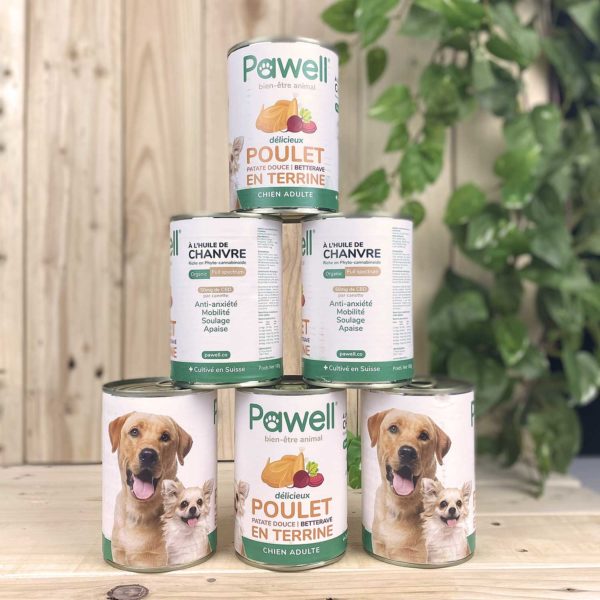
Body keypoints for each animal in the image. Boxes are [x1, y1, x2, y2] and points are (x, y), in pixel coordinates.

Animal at [108, 411, 193, 568]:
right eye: (134, 432)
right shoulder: (118, 552)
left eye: (165, 436)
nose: (148, 455)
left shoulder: (157, 559)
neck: (138, 512)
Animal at [367, 409, 451, 563]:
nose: (407, 452)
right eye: (393, 428)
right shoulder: (378, 544)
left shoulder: (417, 555)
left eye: (424, 435)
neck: (399, 507)